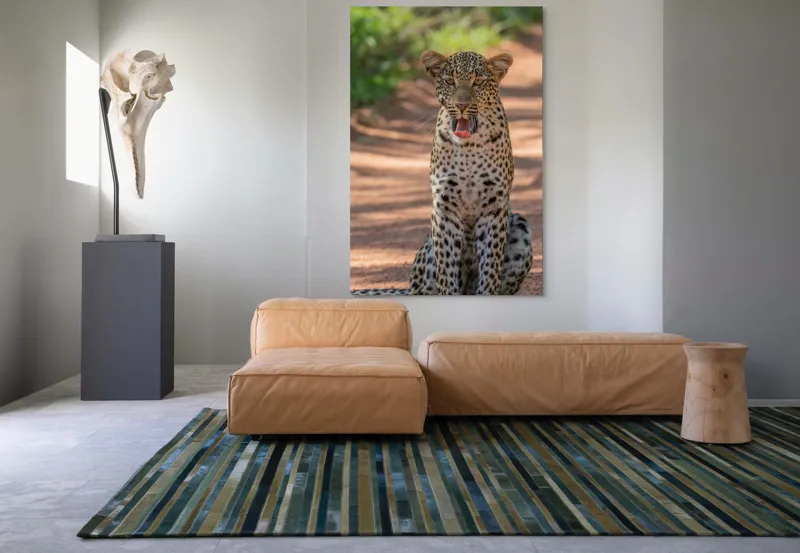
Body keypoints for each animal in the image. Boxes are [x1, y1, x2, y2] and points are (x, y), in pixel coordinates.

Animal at [409, 50, 533, 295]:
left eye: (478, 82)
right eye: (450, 81)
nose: (462, 105)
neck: (469, 148)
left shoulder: (493, 208)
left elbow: (491, 266)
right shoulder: (444, 208)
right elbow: (447, 269)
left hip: (521, 229)